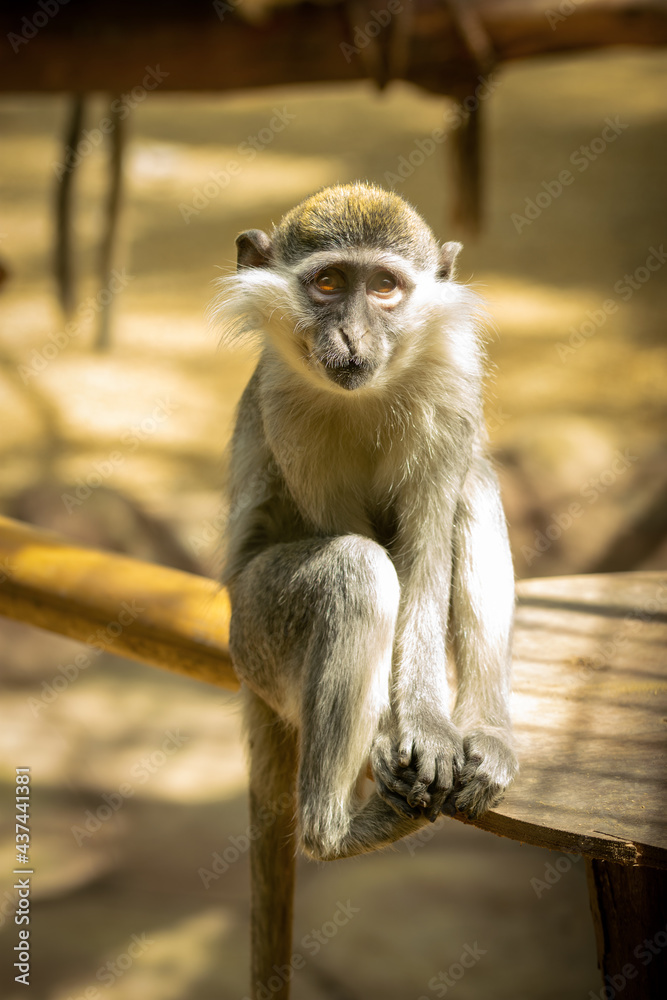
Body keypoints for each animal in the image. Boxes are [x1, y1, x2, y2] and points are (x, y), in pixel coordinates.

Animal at [211, 182, 518, 1000]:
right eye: (326, 283)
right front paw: (388, 737)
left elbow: (429, 541)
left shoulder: (454, 386)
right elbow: (358, 544)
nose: (350, 338)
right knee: (354, 569)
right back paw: (335, 832)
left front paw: (430, 725)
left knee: (472, 486)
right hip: (257, 634)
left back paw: (487, 733)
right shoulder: (285, 405)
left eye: (383, 286)